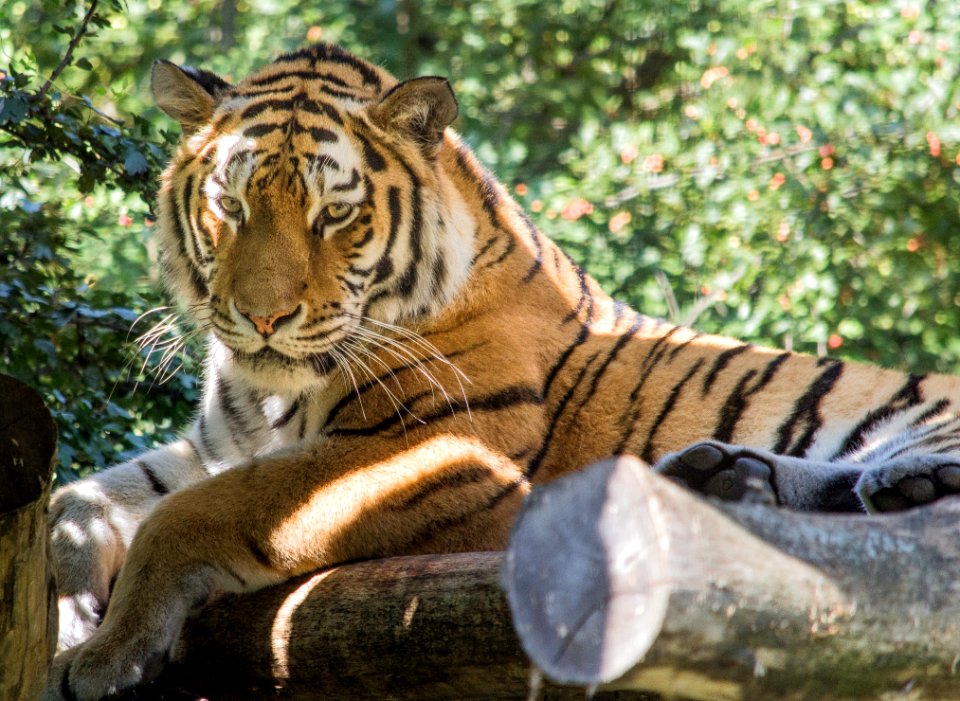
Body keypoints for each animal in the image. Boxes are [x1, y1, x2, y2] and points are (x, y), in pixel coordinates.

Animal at [45, 41, 960, 696]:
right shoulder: (215, 445)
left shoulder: (438, 455)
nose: (263, 317)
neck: (272, 390)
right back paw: (723, 478)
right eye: (228, 206)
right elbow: (78, 500)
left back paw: (894, 483)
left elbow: (189, 515)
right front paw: (69, 617)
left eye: (333, 214)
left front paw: (106, 655)